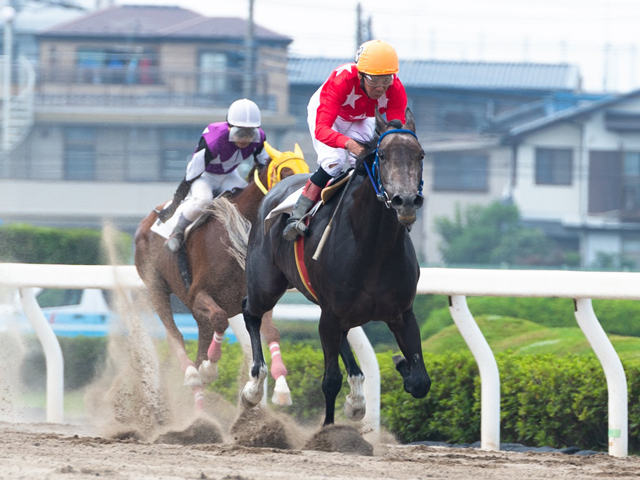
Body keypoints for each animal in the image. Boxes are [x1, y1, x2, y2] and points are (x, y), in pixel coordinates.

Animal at [134, 142, 308, 408]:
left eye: (309, 171)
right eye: (286, 172)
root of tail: (146, 221)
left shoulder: (257, 299)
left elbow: (271, 333)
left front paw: (280, 388)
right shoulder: (198, 295)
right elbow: (220, 319)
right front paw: (209, 369)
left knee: (198, 345)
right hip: (156, 287)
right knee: (175, 336)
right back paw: (191, 374)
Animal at [239, 110, 430, 426]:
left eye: (421, 154)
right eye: (383, 155)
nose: (405, 201)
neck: (373, 249)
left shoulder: (402, 313)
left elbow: (420, 382)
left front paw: (401, 365)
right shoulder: (331, 314)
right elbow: (330, 381)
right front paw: (328, 428)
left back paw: (357, 398)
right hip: (266, 284)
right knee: (249, 311)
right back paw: (253, 388)